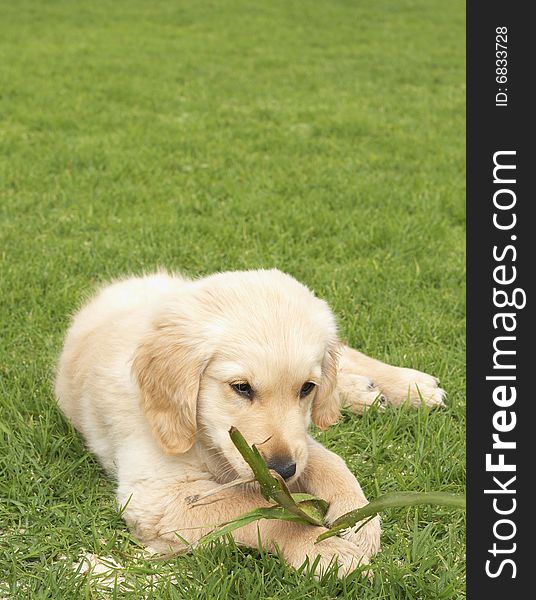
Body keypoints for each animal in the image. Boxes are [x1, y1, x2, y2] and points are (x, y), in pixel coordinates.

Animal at [54, 268, 444, 576]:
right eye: (241, 388)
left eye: (306, 388)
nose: (282, 470)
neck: (204, 438)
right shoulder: (160, 497)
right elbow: (259, 510)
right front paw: (323, 547)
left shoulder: (298, 437)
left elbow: (331, 462)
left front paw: (358, 518)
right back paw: (367, 392)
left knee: (345, 353)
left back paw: (410, 386)